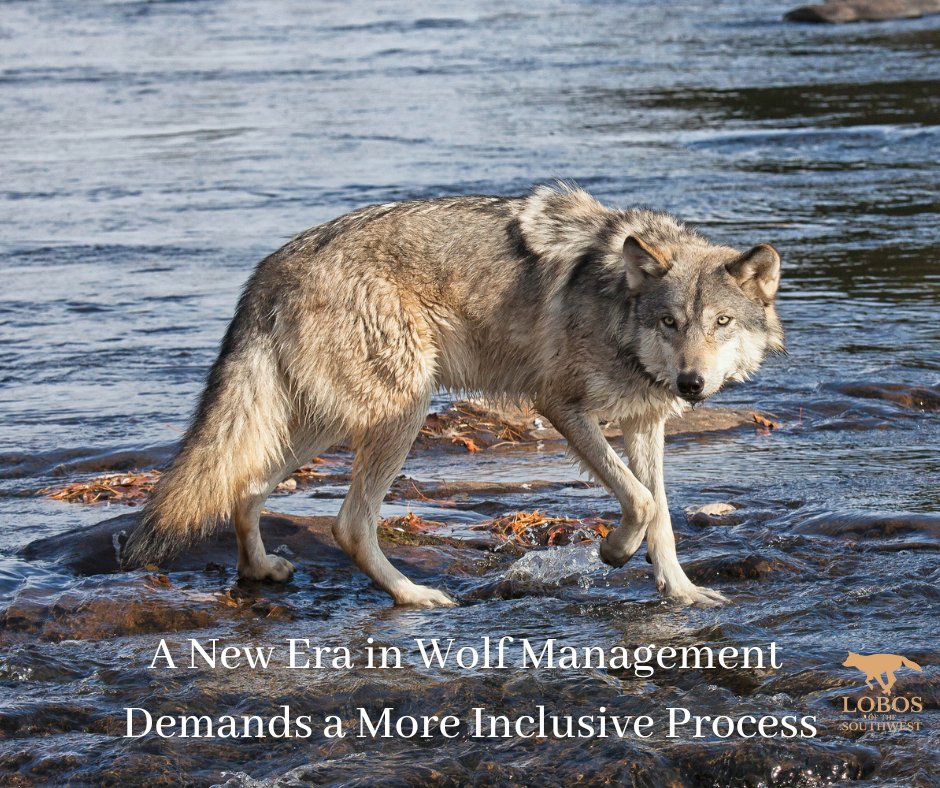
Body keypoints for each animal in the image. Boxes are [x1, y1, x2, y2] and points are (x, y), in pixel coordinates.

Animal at [123, 185, 783, 608]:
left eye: (721, 322)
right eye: (671, 323)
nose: (692, 384)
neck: (616, 303)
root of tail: (269, 270)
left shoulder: (646, 421)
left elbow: (663, 515)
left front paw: (682, 592)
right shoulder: (560, 407)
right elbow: (642, 503)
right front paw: (615, 552)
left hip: (327, 422)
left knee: (246, 485)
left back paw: (260, 571)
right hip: (401, 412)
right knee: (348, 525)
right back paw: (414, 596)